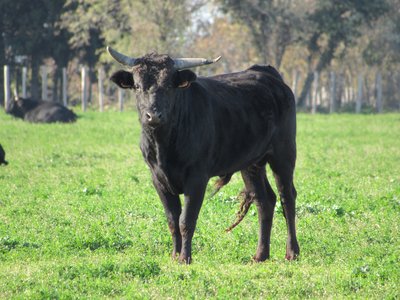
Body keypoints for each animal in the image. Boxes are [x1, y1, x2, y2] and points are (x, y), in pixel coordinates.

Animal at [108, 46, 298, 262]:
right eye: (138, 86)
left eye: (169, 86)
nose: (153, 116)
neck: (164, 146)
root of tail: (268, 73)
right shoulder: (157, 179)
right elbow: (172, 220)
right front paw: (174, 256)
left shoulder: (197, 178)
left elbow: (186, 220)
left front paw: (185, 258)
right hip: (252, 164)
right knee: (265, 201)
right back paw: (260, 255)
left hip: (284, 154)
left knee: (287, 197)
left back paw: (292, 252)